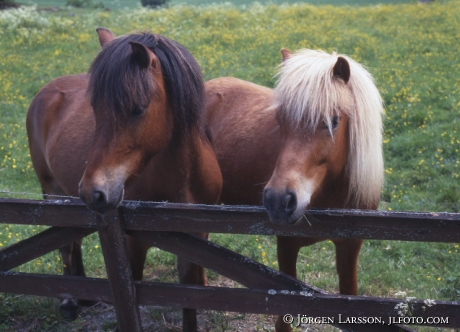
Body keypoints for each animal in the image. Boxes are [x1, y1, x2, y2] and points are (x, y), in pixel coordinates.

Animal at [27, 28, 223, 332]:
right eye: (95, 108)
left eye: (138, 108)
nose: (93, 191)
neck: (183, 182)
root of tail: (46, 91)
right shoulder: (133, 244)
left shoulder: (195, 239)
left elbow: (188, 296)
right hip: (52, 192)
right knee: (65, 245)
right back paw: (69, 302)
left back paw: (85, 297)